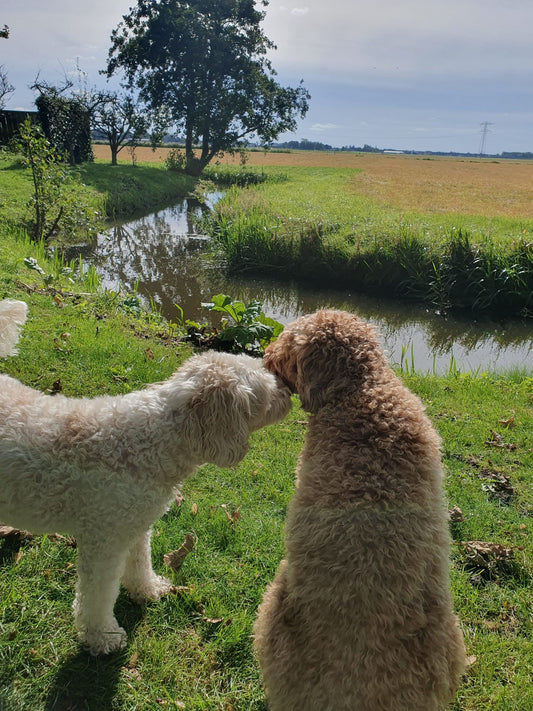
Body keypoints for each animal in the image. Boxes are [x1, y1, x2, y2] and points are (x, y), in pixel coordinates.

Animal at [0, 300, 290, 656]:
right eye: (264, 389)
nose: (289, 391)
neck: (152, 439)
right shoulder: (104, 538)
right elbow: (98, 594)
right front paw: (102, 636)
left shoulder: (136, 526)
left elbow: (140, 562)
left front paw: (147, 590)